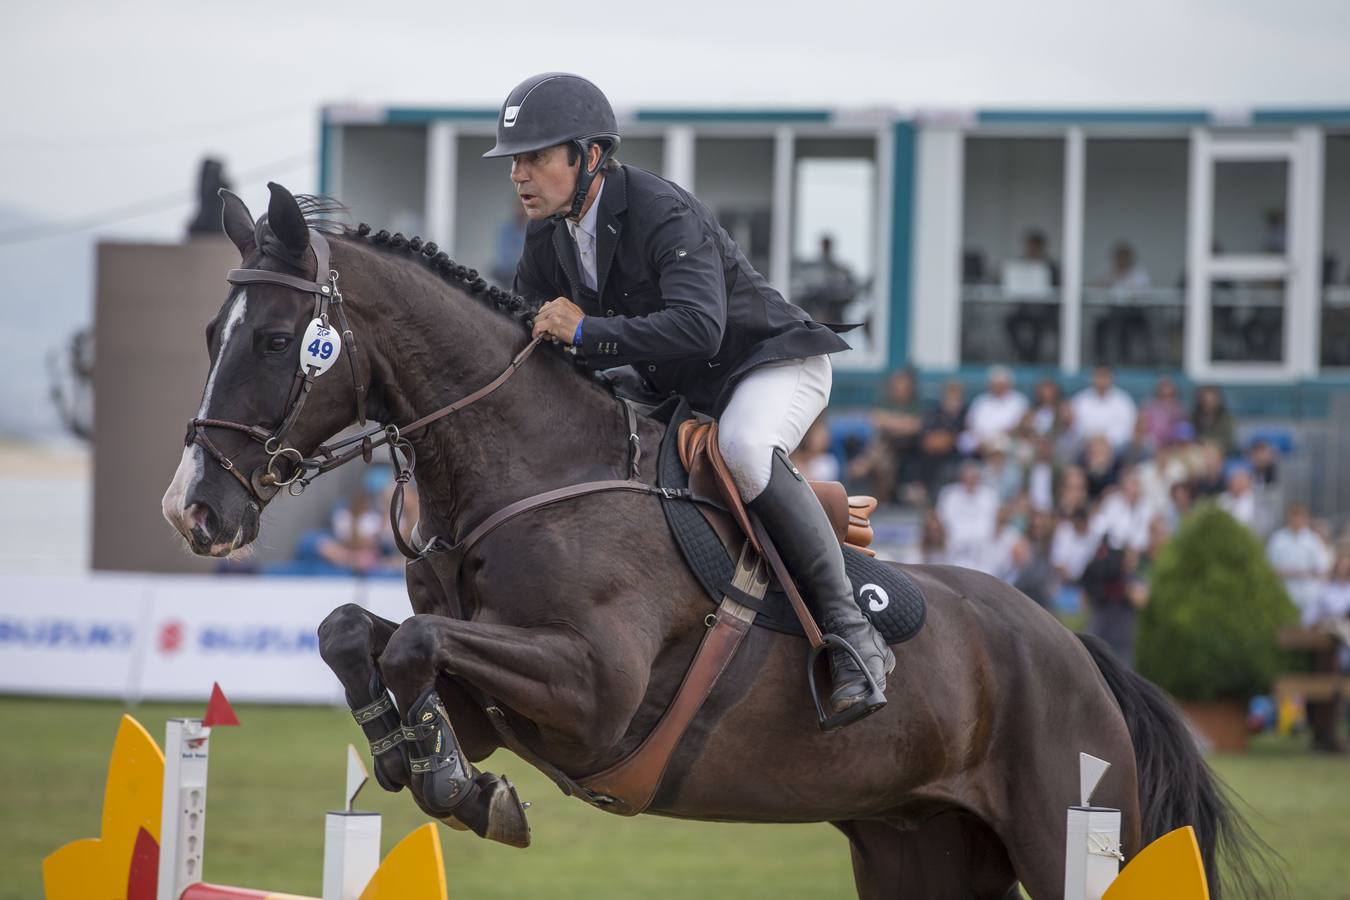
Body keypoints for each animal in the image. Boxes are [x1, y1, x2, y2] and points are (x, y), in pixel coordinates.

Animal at [160, 184, 1274, 900]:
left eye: (276, 340)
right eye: (209, 336)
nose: (192, 511)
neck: (532, 471)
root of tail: (1076, 650)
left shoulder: (593, 691)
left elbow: (415, 645)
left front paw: (450, 785)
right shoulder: (500, 700)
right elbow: (358, 634)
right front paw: (432, 768)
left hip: (1073, 824)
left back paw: (858, 667)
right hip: (916, 848)